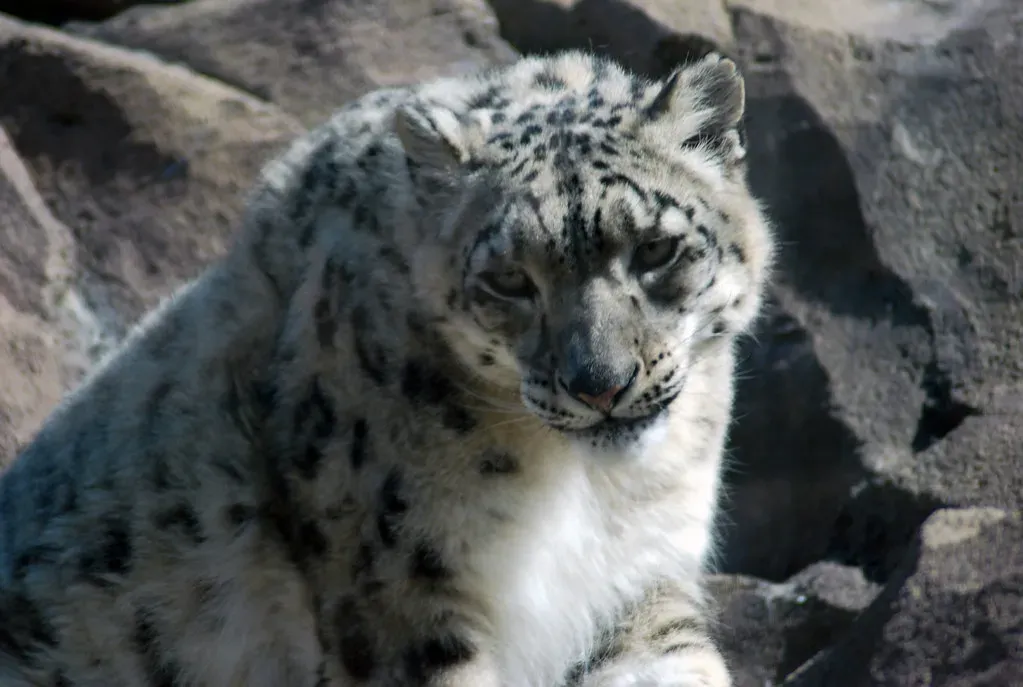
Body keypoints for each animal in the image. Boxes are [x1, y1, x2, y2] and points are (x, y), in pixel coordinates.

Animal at [0, 49, 773, 687]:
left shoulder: (638, 580)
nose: (601, 385)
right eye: (509, 280)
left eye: (655, 249)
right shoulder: (402, 595)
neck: (579, 491)